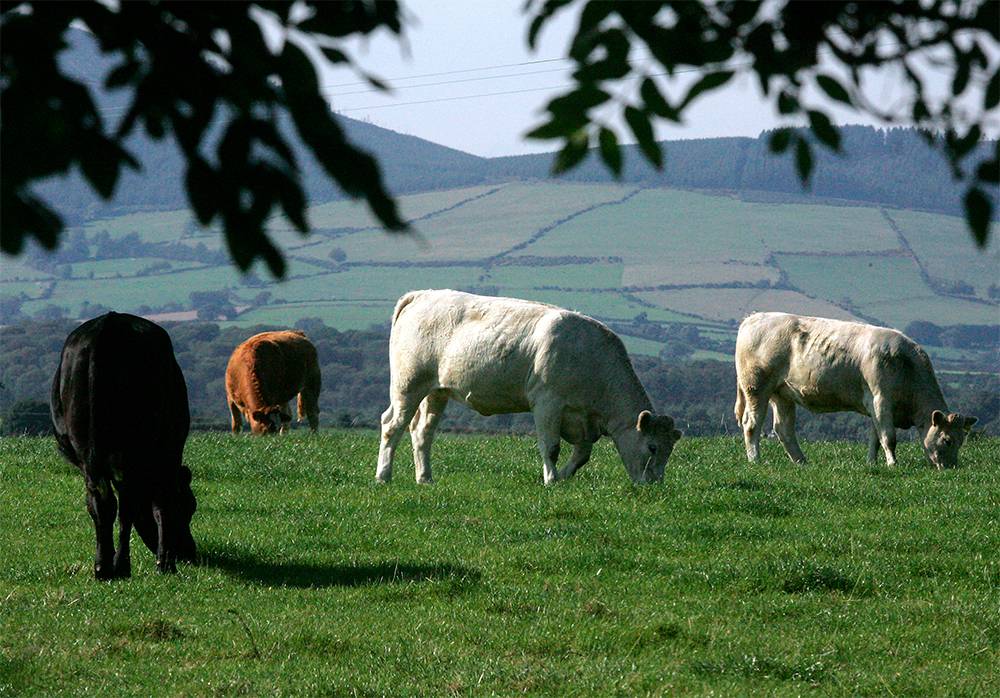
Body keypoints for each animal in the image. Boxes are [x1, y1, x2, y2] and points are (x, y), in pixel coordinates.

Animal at [51, 310, 197, 576]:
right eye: (189, 507)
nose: (189, 553)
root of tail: (110, 323)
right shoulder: (167, 453)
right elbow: (161, 504)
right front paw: (165, 562)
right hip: (130, 450)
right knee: (126, 504)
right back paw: (121, 565)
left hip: (86, 444)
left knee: (102, 501)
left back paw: (103, 566)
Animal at [374, 288, 680, 484]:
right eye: (652, 447)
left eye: (669, 450)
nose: (655, 487)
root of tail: (422, 294)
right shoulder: (547, 402)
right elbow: (551, 446)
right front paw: (551, 480)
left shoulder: (582, 419)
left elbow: (582, 455)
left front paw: (564, 478)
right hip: (408, 384)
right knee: (392, 425)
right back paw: (383, 476)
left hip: (436, 391)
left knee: (422, 432)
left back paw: (425, 479)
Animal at [736, 312, 976, 468]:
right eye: (947, 440)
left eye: (962, 440)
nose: (952, 468)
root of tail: (753, 318)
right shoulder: (881, 400)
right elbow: (888, 437)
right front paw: (893, 464)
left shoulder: (875, 407)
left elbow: (875, 438)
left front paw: (872, 463)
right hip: (756, 387)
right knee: (752, 423)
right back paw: (755, 459)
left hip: (782, 393)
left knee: (783, 429)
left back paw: (801, 462)